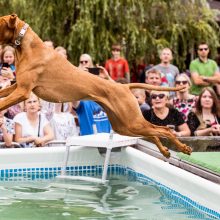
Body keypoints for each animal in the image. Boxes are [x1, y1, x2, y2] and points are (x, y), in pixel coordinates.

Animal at [0, 14, 191, 158]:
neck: (27, 46)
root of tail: (124, 87)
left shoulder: (23, 91)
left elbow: (2, 101)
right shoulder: (17, 87)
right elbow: (2, 92)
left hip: (131, 121)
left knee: (164, 129)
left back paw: (182, 148)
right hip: (125, 125)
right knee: (153, 132)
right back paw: (165, 151)